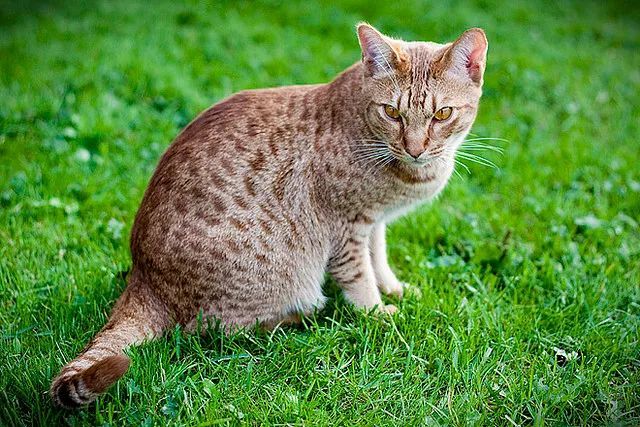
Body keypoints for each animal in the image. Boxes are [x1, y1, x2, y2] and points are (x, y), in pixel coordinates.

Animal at [51, 22, 490, 408]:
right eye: (392, 113)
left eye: (442, 114)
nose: (415, 148)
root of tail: (143, 279)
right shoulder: (347, 226)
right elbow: (359, 276)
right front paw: (377, 313)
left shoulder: (374, 221)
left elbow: (379, 260)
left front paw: (395, 289)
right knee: (209, 331)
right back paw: (303, 315)